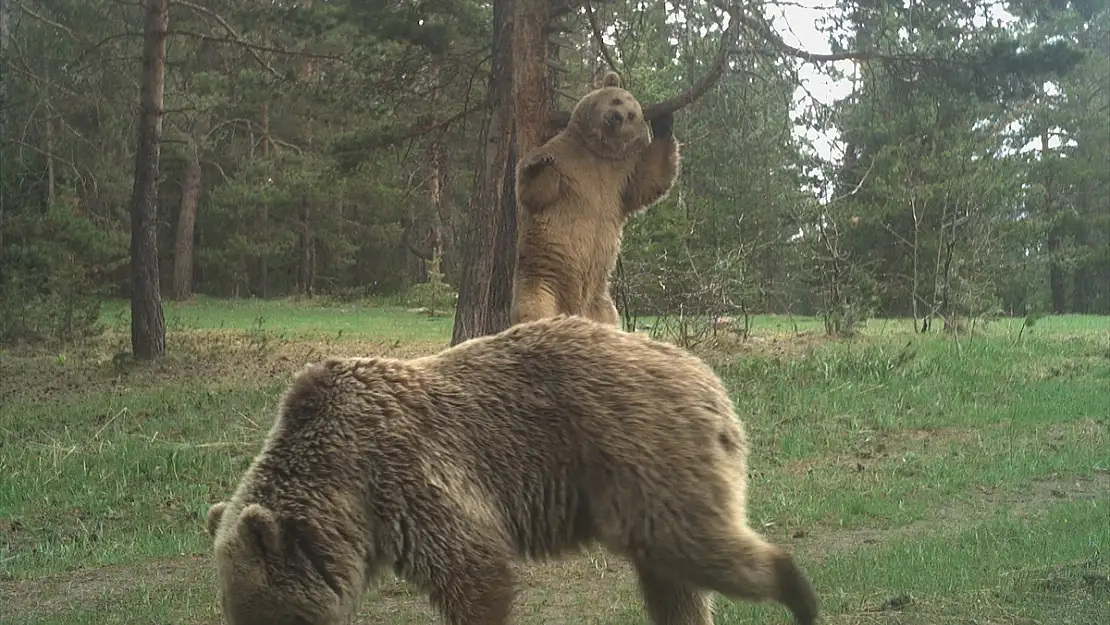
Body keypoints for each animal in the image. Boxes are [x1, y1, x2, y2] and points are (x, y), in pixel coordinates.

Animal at [206, 315, 816, 625]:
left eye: (261, 613)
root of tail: (705, 374)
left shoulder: (406, 477)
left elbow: (475, 572)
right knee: (674, 584)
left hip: (645, 456)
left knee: (694, 546)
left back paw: (799, 594)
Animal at [508, 71, 674, 328]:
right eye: (616, 100)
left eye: (631, 114)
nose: (616, 117)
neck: (597, 151)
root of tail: (575, 310)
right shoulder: (567, 161)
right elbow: (536, 192)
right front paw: (538, 163)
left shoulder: (620, 179)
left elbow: (649, 180)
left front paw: (665, 121)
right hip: (543, 281)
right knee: (535, 309)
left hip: (601, 302)